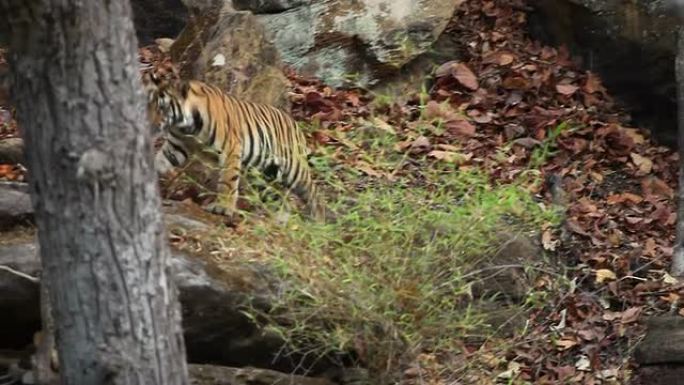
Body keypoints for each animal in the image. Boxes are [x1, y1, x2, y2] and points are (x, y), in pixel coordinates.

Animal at [142, 73, 326, 222]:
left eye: (162, 107)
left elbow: (227, 181)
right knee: (277, 196)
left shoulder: (230, 149)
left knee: (312, 190)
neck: (186, 126)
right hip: (262, 173)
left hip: (294, 168)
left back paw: (318, 220)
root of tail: (295, 123)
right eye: (146, 104)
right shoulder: (176, 147)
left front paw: (223, 208)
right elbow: (159, 162)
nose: (147, 124)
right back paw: (279, 217)